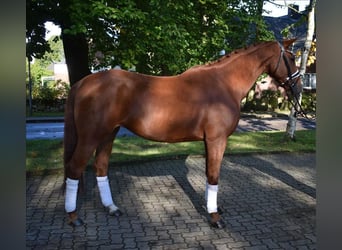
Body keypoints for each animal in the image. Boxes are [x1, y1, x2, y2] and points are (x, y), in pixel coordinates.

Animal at [64, 39, 302, 229]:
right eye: (291, 57)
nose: (299, 88)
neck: (224, 84)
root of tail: (82, 83)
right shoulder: (217, 140)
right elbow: (213, 175)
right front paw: (215, 218)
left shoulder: (209, 141)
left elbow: (208, 173)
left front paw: (211, 207)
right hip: (90, 137)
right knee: (74, 168)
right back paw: (73, 217)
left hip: (108, 134)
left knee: (101, 167)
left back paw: (111, 208)